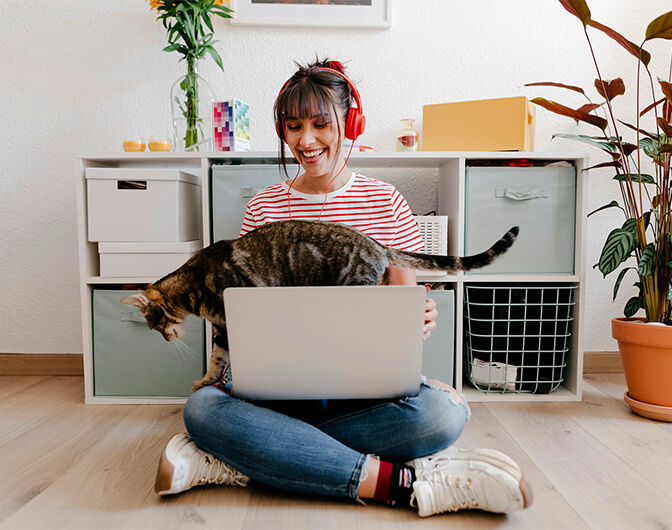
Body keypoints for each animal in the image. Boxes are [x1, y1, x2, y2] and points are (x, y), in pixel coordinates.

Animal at [122, 217, 520, 390]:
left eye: (156, 324)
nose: (166, 338)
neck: (195, 286)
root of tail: (376, 245)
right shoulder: (223, 328)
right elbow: (218, 359)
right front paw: (205, 381)